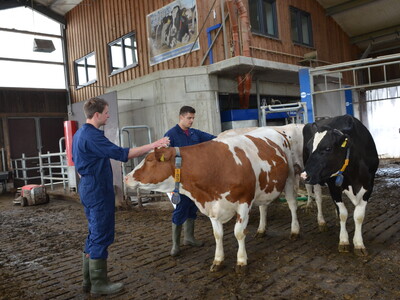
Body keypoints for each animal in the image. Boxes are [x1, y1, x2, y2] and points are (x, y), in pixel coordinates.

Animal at [126, 126, 298, 272]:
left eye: (149, 160)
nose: (126, 177)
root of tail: (276, 130)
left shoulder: (244, 201)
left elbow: (239, 233)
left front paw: (241, 261)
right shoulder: (212, 206)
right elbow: (217, 235)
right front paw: (218, 260)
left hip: (289, 178)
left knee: (292, 204)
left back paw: (295, 231)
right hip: (264, 186)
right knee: (263, 206)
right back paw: (261, 229)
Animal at [302, 115, 380, 255]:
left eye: (328, 148)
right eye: (309, 148)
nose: (304, 175)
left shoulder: (369, 185)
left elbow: (358, 215)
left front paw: (359, 244)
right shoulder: (334, 187)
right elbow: (343, 213)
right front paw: (344, 241)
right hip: (315, 180)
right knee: (318, 198)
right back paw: (321, 221)